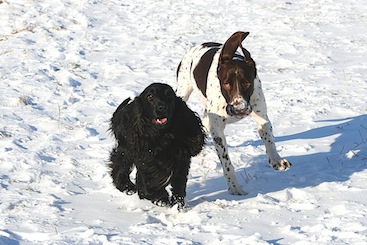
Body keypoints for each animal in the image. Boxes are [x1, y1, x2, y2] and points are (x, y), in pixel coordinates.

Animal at [177, 31, 292, 195]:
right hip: (183, 91)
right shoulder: (218, 130)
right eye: (226, 83)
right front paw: (234, 187)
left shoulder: (261, 115)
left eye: (247, 82)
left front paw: (276, 160)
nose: (239, 109)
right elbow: (226, 162)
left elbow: (268, 138)